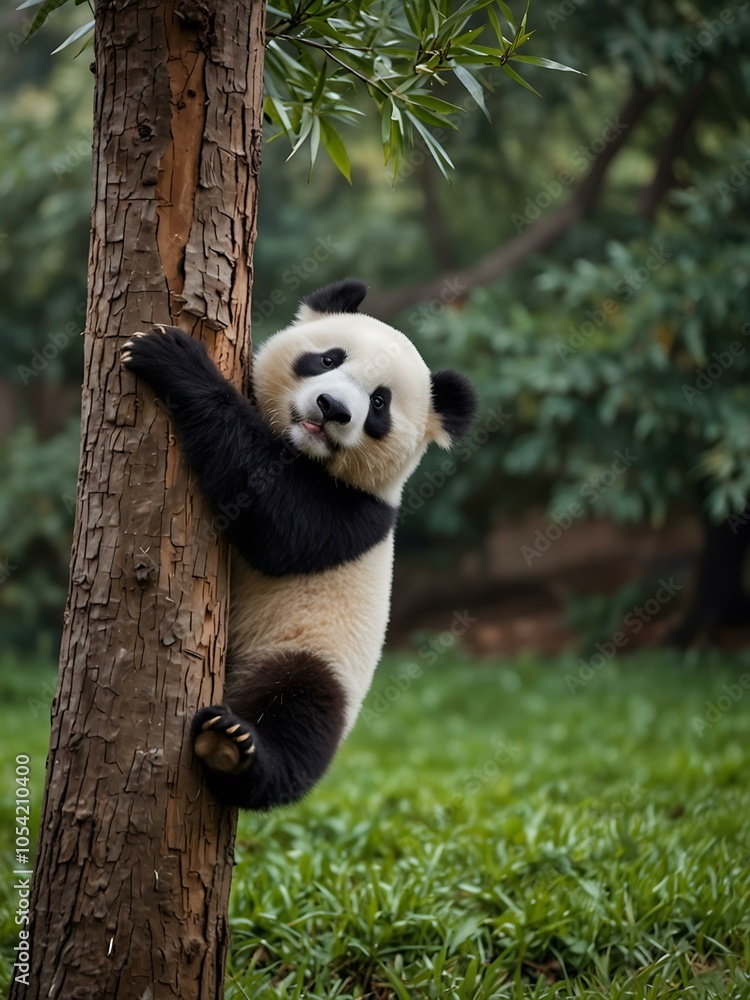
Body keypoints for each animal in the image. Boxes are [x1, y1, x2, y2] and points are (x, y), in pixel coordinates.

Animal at [121, 278, 477, 810]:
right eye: (328, 359)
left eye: (379, 404)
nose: (333, 409)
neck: (300, 450)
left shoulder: (356, 513)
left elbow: (278, 522)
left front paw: (171, 357)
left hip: (311, 653)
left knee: (301, 714)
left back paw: (232, 746)